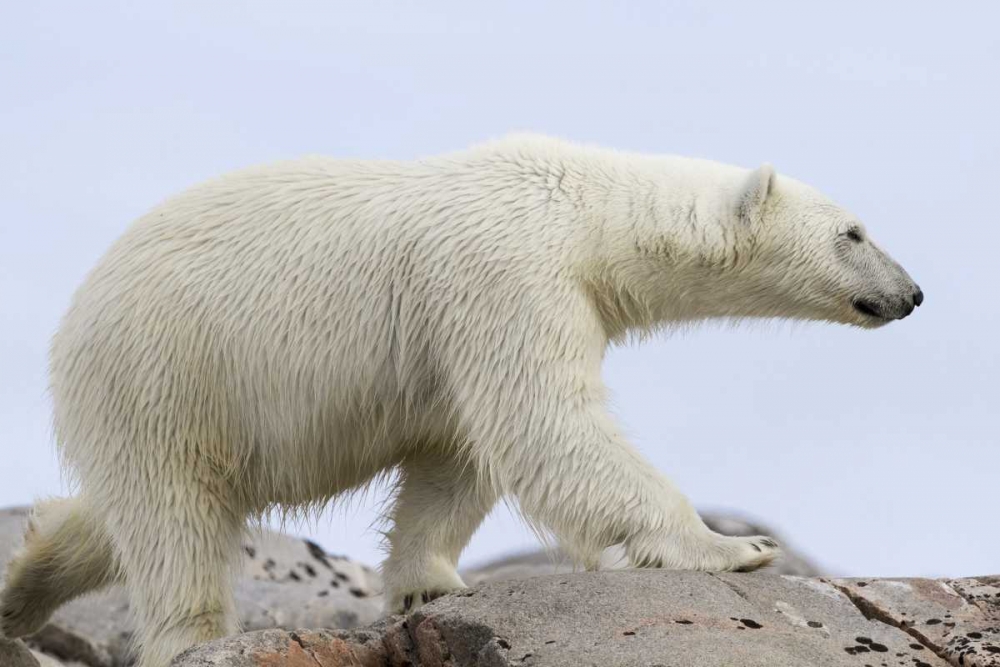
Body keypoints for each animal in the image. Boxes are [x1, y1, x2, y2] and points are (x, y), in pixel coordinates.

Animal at [0, 135, 922, 667]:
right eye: (854, 231)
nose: (912, 293)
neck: (581, 210)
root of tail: (76, 315)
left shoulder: (459, 327)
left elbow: (457, 454)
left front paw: (427, 586)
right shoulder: (505, 275)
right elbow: (545, 423)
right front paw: (734, 546)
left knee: (119, 516)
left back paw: (22, 586)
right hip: (167, 366)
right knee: (175, 520)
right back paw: (192, 635)